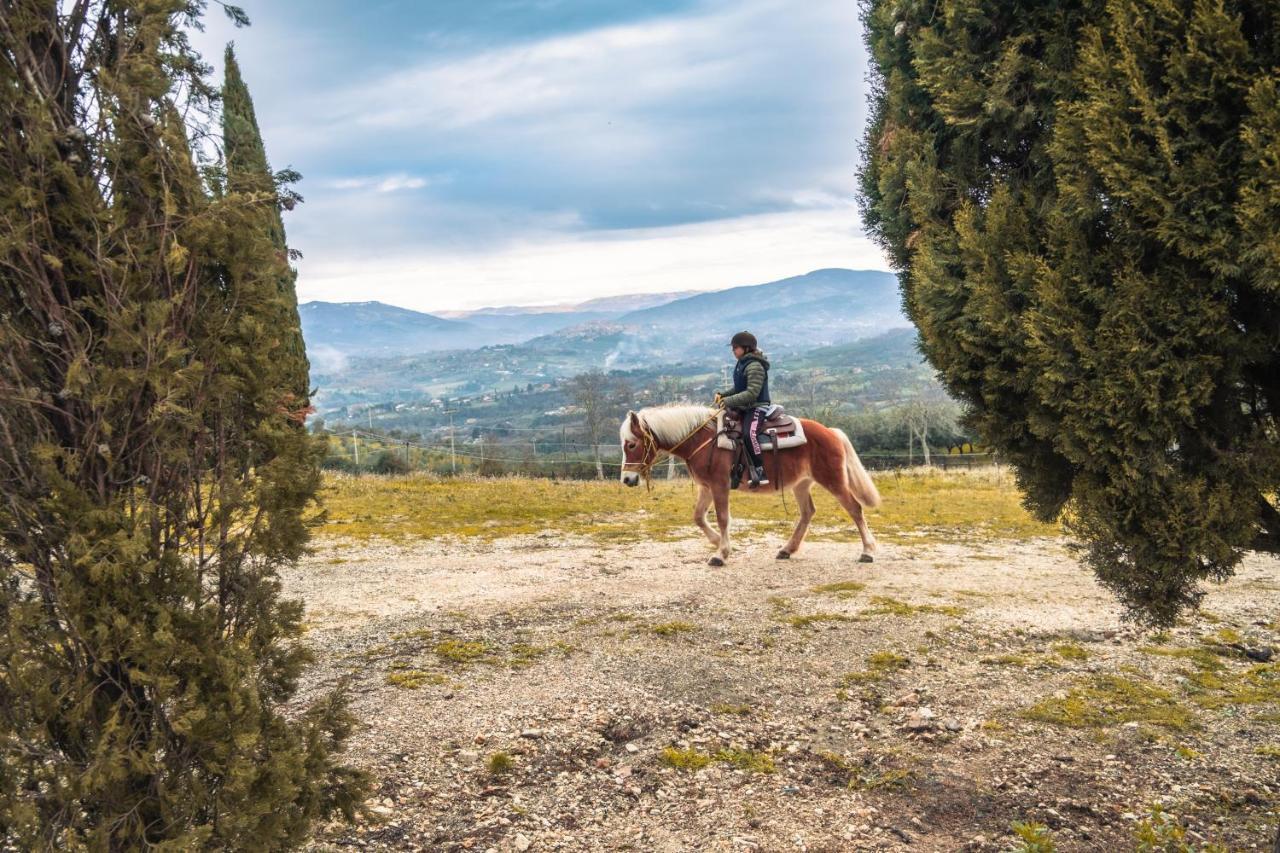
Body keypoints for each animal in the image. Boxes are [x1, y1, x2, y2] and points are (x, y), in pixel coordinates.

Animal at [616, 404, 880, 563]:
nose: (627, 479)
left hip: (833, 479)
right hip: (801, 484)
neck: (703, 440)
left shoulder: (719, 485)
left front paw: (721, 554)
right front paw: (718, 543)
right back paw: (787, 549)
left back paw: (867, 551)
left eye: (631, 444)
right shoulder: (706, 487)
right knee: (807, 512)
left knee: (854, 508)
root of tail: (831, 432)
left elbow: (722, 518)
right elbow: (698, 517)